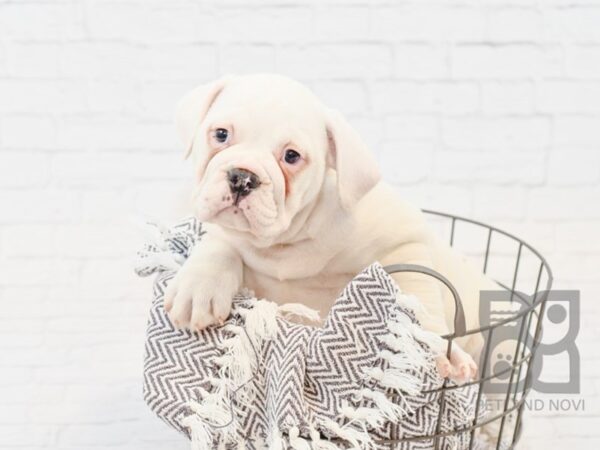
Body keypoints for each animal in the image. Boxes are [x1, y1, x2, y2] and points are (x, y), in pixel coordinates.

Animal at [165, 74, 492, 380]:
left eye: (292, 156)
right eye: (221, 134)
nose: (243, 178)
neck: (287, 240)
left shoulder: (404, 242)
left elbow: (421, 295)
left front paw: (435, 350)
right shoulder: (225, 231)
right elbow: (219, 245)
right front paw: (199, 287)